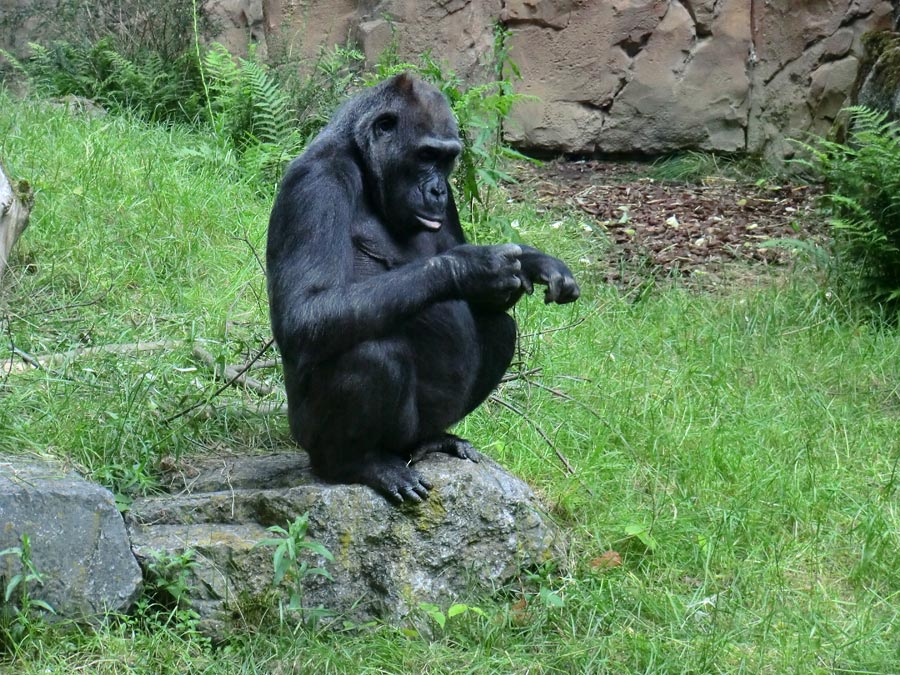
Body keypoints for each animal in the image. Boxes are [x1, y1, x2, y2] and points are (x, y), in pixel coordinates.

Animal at [264, 75, 580, 508]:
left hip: (414, 435)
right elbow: (305, 312)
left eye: (447, 160)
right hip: (306, 436)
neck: (363, 162)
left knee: (499, 328)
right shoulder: (317, 182)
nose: (437, 191)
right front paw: (469, 268)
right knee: (370, 354)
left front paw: (535, 263)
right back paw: (356, 463)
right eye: (426, 155)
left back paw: (433, 440)